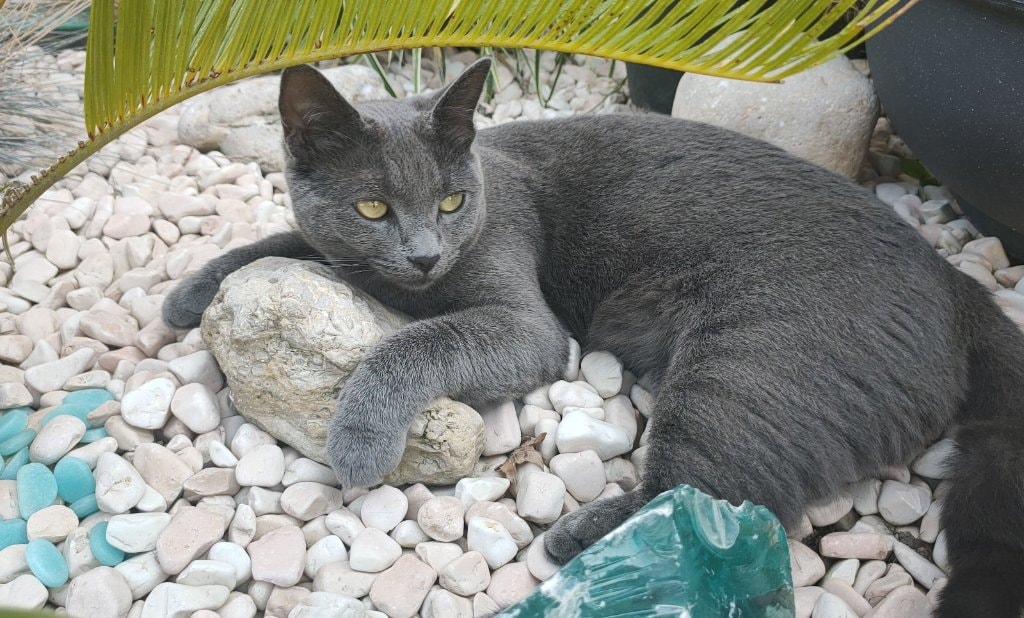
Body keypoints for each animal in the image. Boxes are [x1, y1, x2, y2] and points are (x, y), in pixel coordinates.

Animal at [163, 58, 1024, 616]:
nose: (425, 253)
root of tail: (959, 287)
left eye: (452, 202)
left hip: (748, 363)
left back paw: (594, 550)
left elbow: (416, 342)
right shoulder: (349, 256)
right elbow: (283, 243)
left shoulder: (523, 323)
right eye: (372, 207)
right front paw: (190, 294)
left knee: (723, 501)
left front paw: (360, 439)